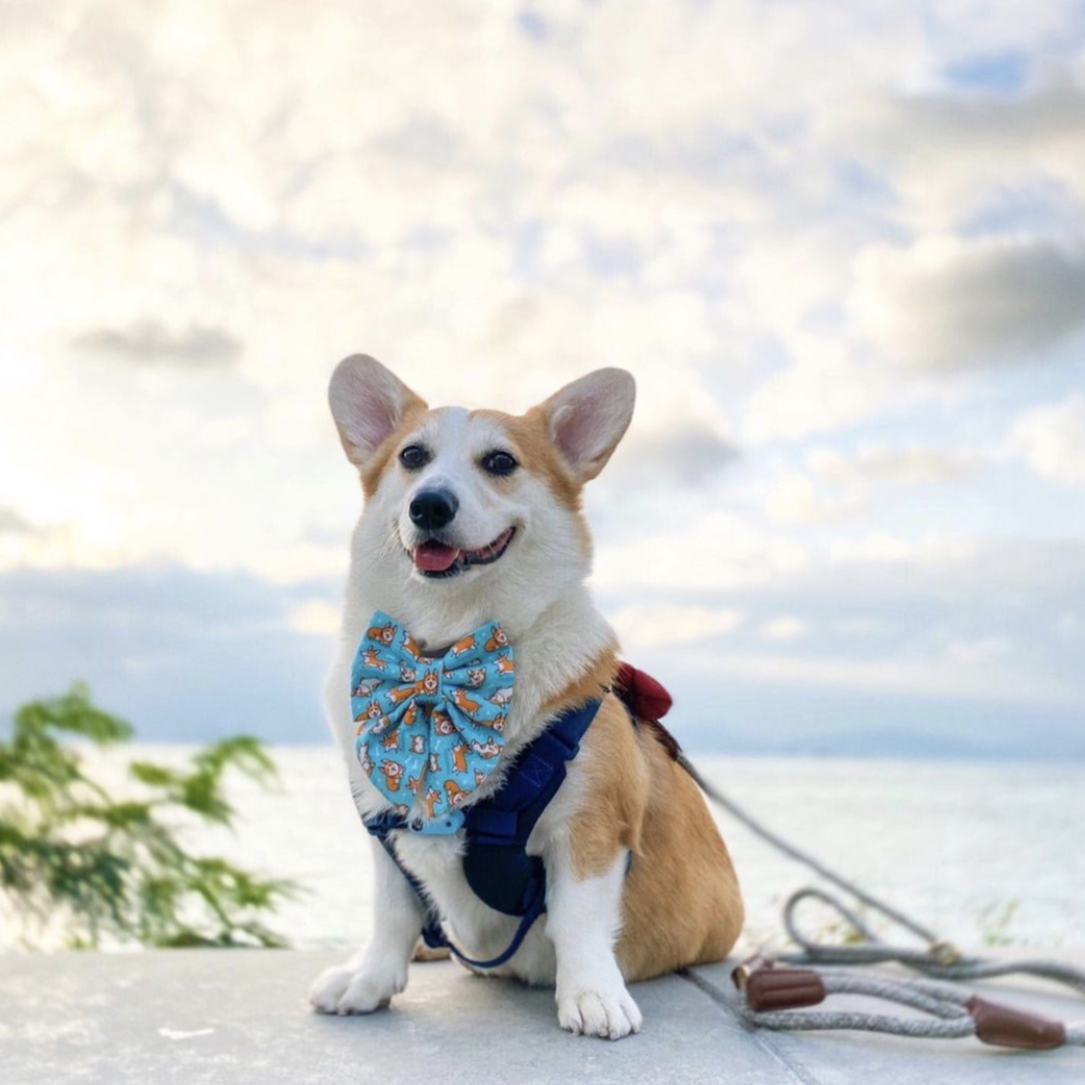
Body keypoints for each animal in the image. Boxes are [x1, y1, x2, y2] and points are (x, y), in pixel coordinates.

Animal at [310, 358, 742, 1041]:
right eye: (412, 456)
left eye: (500, 462)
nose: (429, 504)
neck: (444, 647)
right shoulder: (385, 825)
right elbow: (392, 911)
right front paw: (369, 980)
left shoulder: (591, 829)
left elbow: (577, 919)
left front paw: (592, 995)